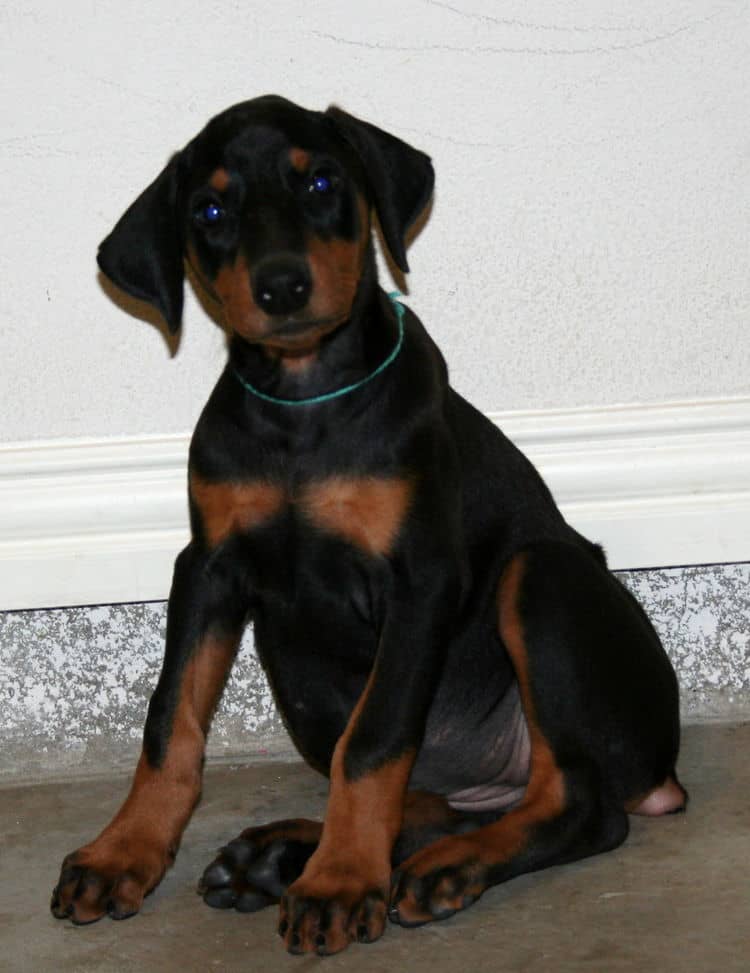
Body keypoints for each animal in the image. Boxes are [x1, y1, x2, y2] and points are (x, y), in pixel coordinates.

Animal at [50, 95, 692, 952]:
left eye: (322, 180)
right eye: (209, 212)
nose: (282, 286)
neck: (304, 400)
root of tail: (662, 765)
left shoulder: (418, 580)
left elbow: (374, 740)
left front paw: (340, 881)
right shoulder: (210, 566)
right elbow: (170, 720)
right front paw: (124, 850)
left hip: (541, 579)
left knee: (582, 802)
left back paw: (433, 866)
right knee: (435, 799)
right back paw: (276, 854)